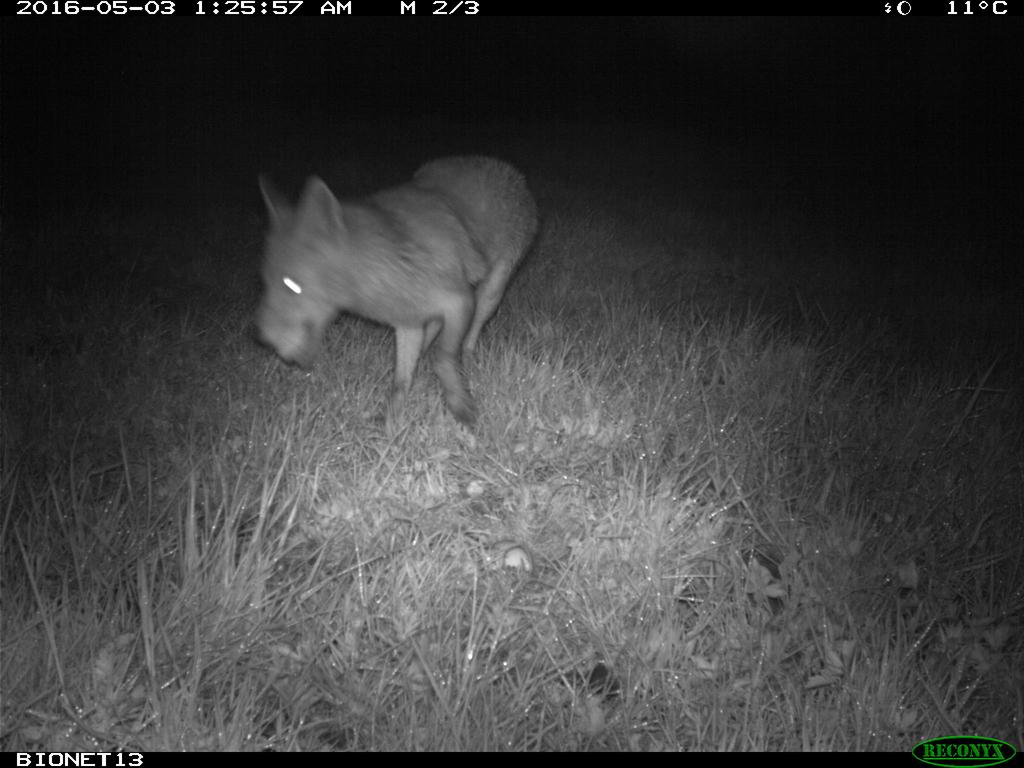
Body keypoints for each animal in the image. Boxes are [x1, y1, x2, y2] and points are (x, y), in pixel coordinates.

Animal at [256, 155, 540, 428]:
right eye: (266, 283)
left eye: (292, 285)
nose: (262, 337)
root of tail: (513, 173)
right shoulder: (408, 323)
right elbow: (400, 382)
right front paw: (390, 428)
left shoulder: (459, 301)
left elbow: (442, 358)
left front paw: (461, 406)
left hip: (490, 293)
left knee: (470, 335)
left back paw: (467, 360)